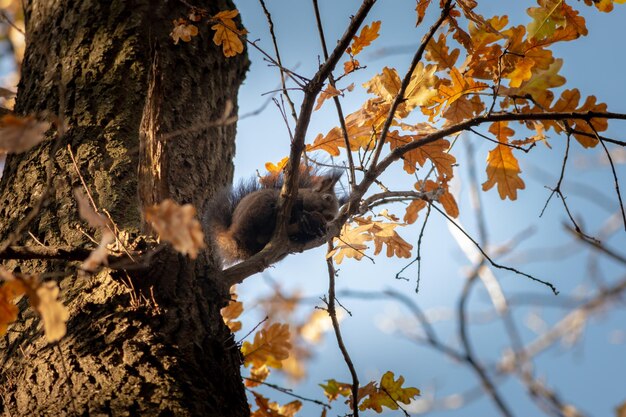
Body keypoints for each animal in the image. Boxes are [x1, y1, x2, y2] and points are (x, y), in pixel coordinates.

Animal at [205, 167, 342, 262]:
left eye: (330, 217)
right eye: (327, 198)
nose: (327, 216)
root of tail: (231, 236)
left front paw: (316, 229)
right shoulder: (292, 197)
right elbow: (295, 209)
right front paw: (303, 217)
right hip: (258, 208)